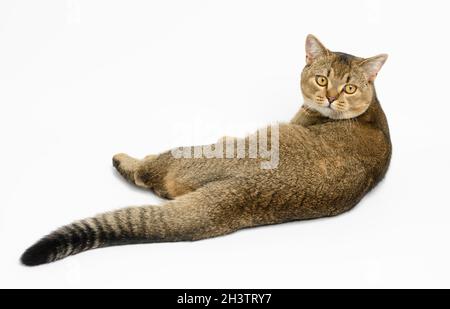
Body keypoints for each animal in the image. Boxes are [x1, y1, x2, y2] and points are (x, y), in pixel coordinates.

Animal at [20, 33, 390, 264]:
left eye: (350, 87)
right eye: (322, 80)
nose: (330, 98)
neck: (371, 111)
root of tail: (244, 193)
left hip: (194, 154)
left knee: (150, 174)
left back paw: (127, 161)